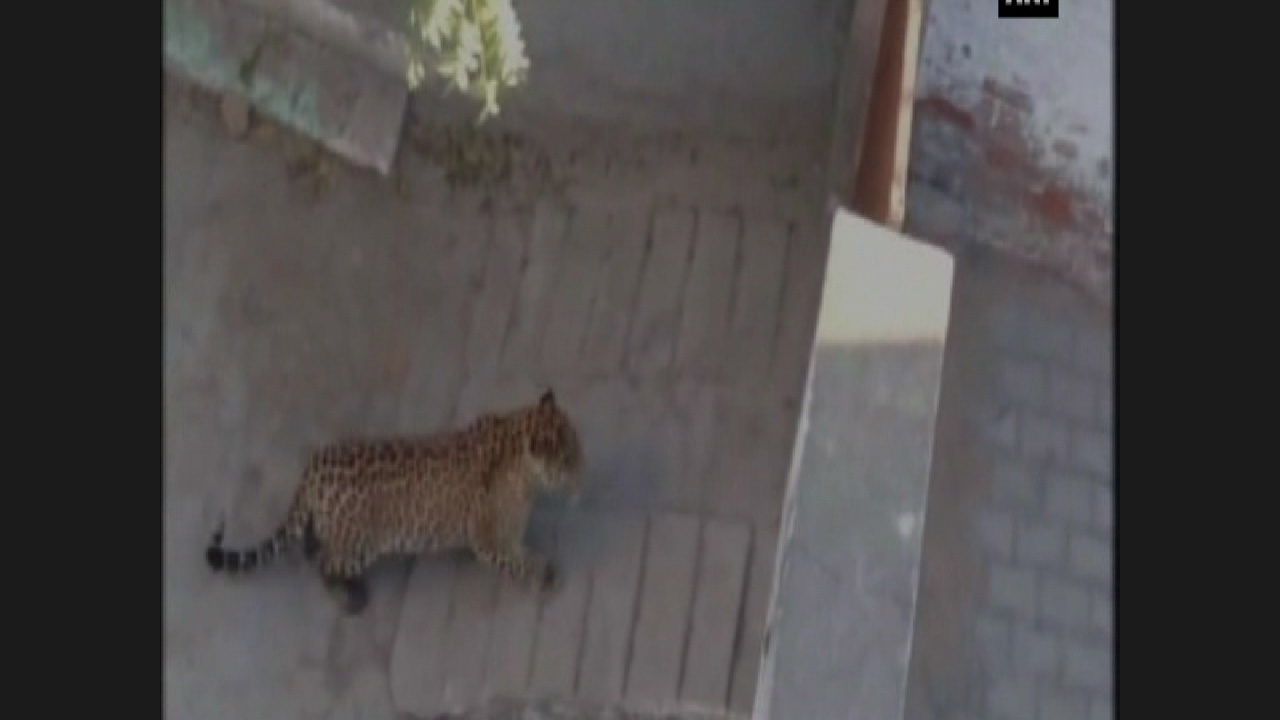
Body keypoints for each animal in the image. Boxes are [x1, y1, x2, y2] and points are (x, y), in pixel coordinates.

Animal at [205, 389, 585, 615]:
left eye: (577, 445)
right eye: (567, 459)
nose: (583, 468)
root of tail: (312, 470)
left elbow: (521, 551)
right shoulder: (487, 542)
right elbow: (516, 562)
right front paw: (544, 576)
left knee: (315, 541)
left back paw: (314, 547)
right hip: (360, 545)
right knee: (326, 563)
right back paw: (349, 597)